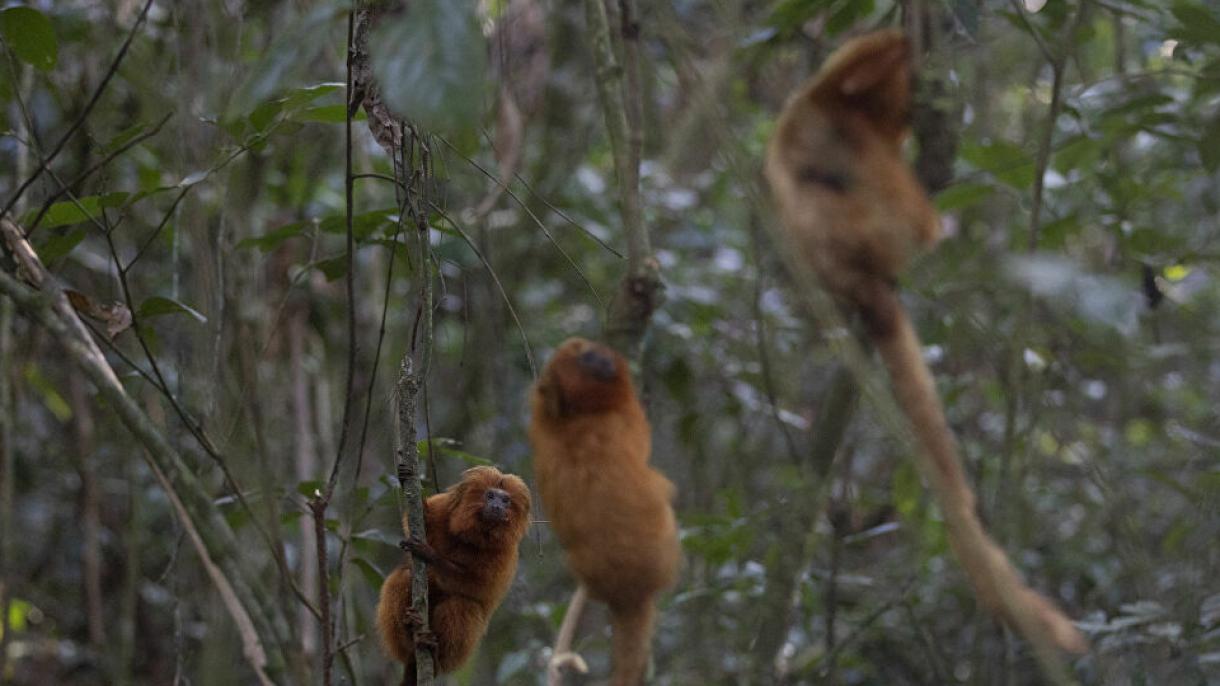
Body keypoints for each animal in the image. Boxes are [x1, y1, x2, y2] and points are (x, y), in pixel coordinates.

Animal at [373, 461, 531, 678]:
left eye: (506, 500)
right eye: (490, 496)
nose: (497, 506)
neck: (473, 537)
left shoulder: (505, 554)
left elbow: (477, 588)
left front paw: (430, 555)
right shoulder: (445, 508)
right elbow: (419, 521)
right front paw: (405, 479)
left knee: (461, 604)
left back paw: (435, 654)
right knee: (403, 577)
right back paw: (409, 631)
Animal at [529, 336, 683, 683]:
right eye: (588, 359)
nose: (601, 359)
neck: (578, 413)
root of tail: (627, 589)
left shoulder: (542, 419)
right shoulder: (628, 415)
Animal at [761, 29, 1088, 654]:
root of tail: (858, 284)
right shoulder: (836, 104)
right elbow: (860, 71)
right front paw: (910, 45)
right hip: (867, 228)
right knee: (863, 194)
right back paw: (922, 226)